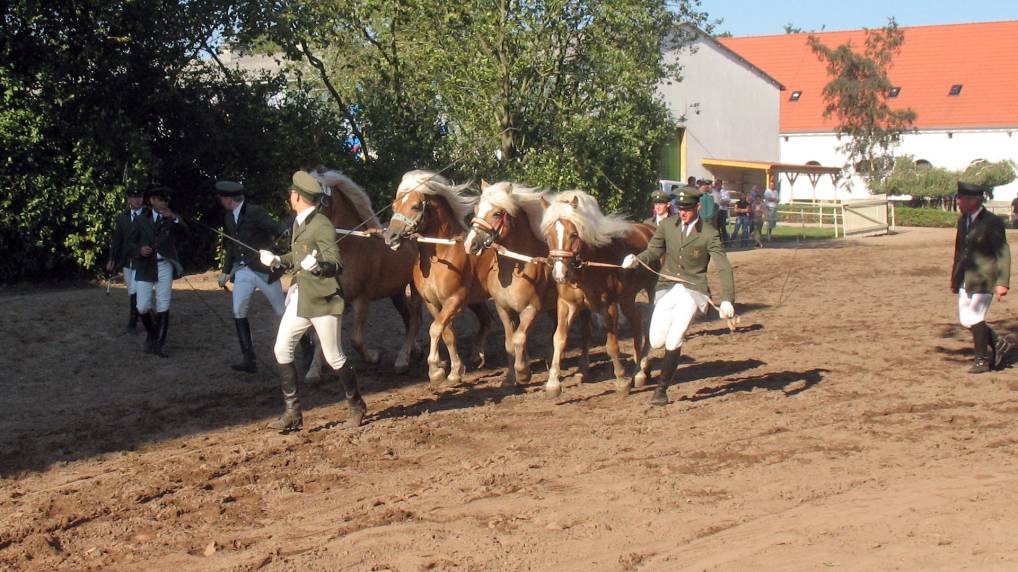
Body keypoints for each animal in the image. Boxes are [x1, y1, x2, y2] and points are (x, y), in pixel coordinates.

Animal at [307, 168, 423, 374]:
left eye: (317, 198)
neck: (350, 246)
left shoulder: (361, 299)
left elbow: (356, 339)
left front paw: (373, 357)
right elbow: (319, 337)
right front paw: (314, 370)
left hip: (413, 288)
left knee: (414, 319)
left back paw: (404, 358)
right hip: (397, 292)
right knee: (408, 318)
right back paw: (413, 351)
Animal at [382, 167, 492, 382]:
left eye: (416, 206)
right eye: (395, 205)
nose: (391, 237)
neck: (442, 255)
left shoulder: (454, 299)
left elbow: (435, 329)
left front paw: (437, 369)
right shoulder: (433, 302)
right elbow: (446, 333)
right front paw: (453, 370)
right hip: (476, 300)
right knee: (487, 319)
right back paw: (478, 354)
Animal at [464, 180, 557, 384]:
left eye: (497, 213)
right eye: (477, 209)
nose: (470, 244)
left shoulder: (531, 309)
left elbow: (519, 338)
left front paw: (523, 373)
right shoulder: (504, 309)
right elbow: (508, 342)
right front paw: (510, 377)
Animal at [537, 191, 655, 396]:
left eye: (573, 235)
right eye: (548, 236)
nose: (560, 274)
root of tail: (648, 229)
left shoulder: (609, 307)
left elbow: (612, 345)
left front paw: (621, 380)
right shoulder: (567, 304)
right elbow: (559, 339)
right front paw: (553, 383)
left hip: (650, 289)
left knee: (646, 324)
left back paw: (641, 370)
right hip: (627, 298)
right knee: (637, 323)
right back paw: (639, 368)